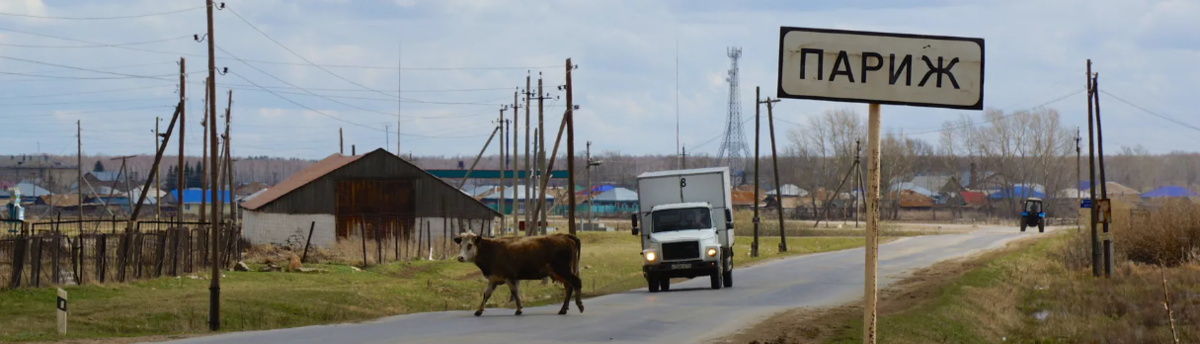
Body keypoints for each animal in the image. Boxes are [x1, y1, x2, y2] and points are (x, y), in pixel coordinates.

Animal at [451, 230, 583, 316]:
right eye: (460, 245)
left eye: (469, 245)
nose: (460, 257)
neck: (491, 250)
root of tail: (565, 236)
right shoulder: (493, 279)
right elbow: (486, 294)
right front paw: (479, 310)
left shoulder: (509, 277)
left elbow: (514, 292)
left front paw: (519, 309)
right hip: (561, 273)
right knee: (569, 287)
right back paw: (563, 309)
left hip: (563, 270)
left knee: (576, 283)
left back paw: (579, 305)